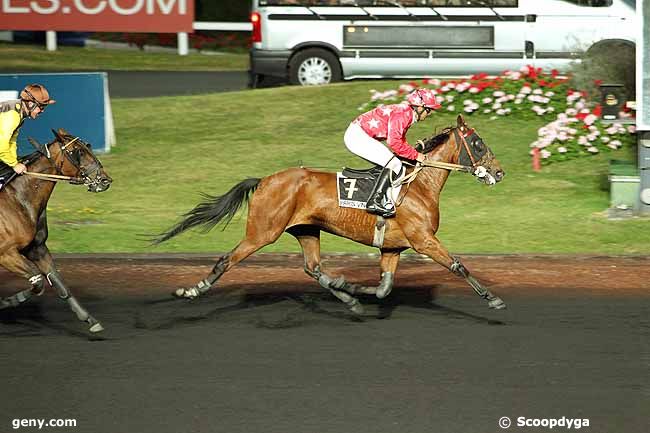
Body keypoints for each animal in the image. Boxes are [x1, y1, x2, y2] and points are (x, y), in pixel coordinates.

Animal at [0, 128, 112, 330]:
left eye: (88, 146)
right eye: (78, 151)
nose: (105, 180)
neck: (19, 199)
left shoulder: (37, 248)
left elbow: (59, 283)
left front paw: (90, 319)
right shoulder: (6, 253)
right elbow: (37, 281)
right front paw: (7, 301)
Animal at [153, 115, 506, 310]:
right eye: (477, 143)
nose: (499, 172)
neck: (418, 184)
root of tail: (264, 180)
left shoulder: (393, 246)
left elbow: (383, 288)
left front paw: (354, 289)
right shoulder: (423, 240)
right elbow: (458, 265)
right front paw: (492, 298)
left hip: (306, 229)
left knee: (313, 269)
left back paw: (347, 298)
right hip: (262, 232)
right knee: (227, 259)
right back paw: (191, 290)